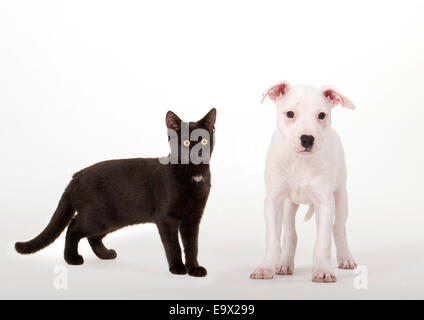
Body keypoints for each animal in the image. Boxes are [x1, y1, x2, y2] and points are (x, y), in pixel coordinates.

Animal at [15, 109, 217, 276]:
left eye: (204, 140)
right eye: (187, 142)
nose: (198, 152)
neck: (193, 175)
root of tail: (76, 176)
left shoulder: (193, 219)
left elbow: (192, 246)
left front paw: (194, 268)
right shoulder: (166, 219)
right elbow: (173, 245)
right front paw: (177, 268)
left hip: (112, 220)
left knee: (91, 236)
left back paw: (105, 254)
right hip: (99, 218)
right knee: (73, 227)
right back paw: (72, 258)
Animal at [252, 82, 358, 282]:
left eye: (322, 115)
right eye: (290, 114)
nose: (307, 139)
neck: (300, 162)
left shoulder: (324, 202)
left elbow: (323, 240)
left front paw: (323, 269)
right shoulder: (273, 200)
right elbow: (273, 239)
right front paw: (266, 267)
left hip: (341, 197)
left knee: (338, 228)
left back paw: (346, 258)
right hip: (289, 204)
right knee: (290, 233)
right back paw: (285, 264)